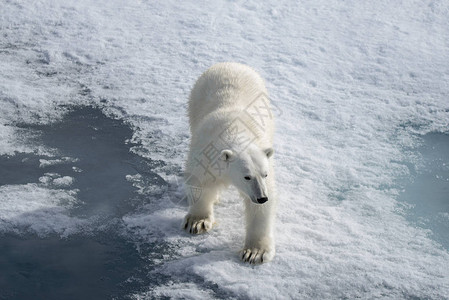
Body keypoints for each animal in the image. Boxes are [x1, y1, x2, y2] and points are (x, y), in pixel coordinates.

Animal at [180, 62, 274, 264]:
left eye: (265, 174)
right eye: (247, 177)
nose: (262, 197)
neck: (233, 129)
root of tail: (231, 64)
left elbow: (261, 211)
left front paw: (255, 252)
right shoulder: (205, 152)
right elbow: (200, 182)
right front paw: (197, 222)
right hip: (195, 100)